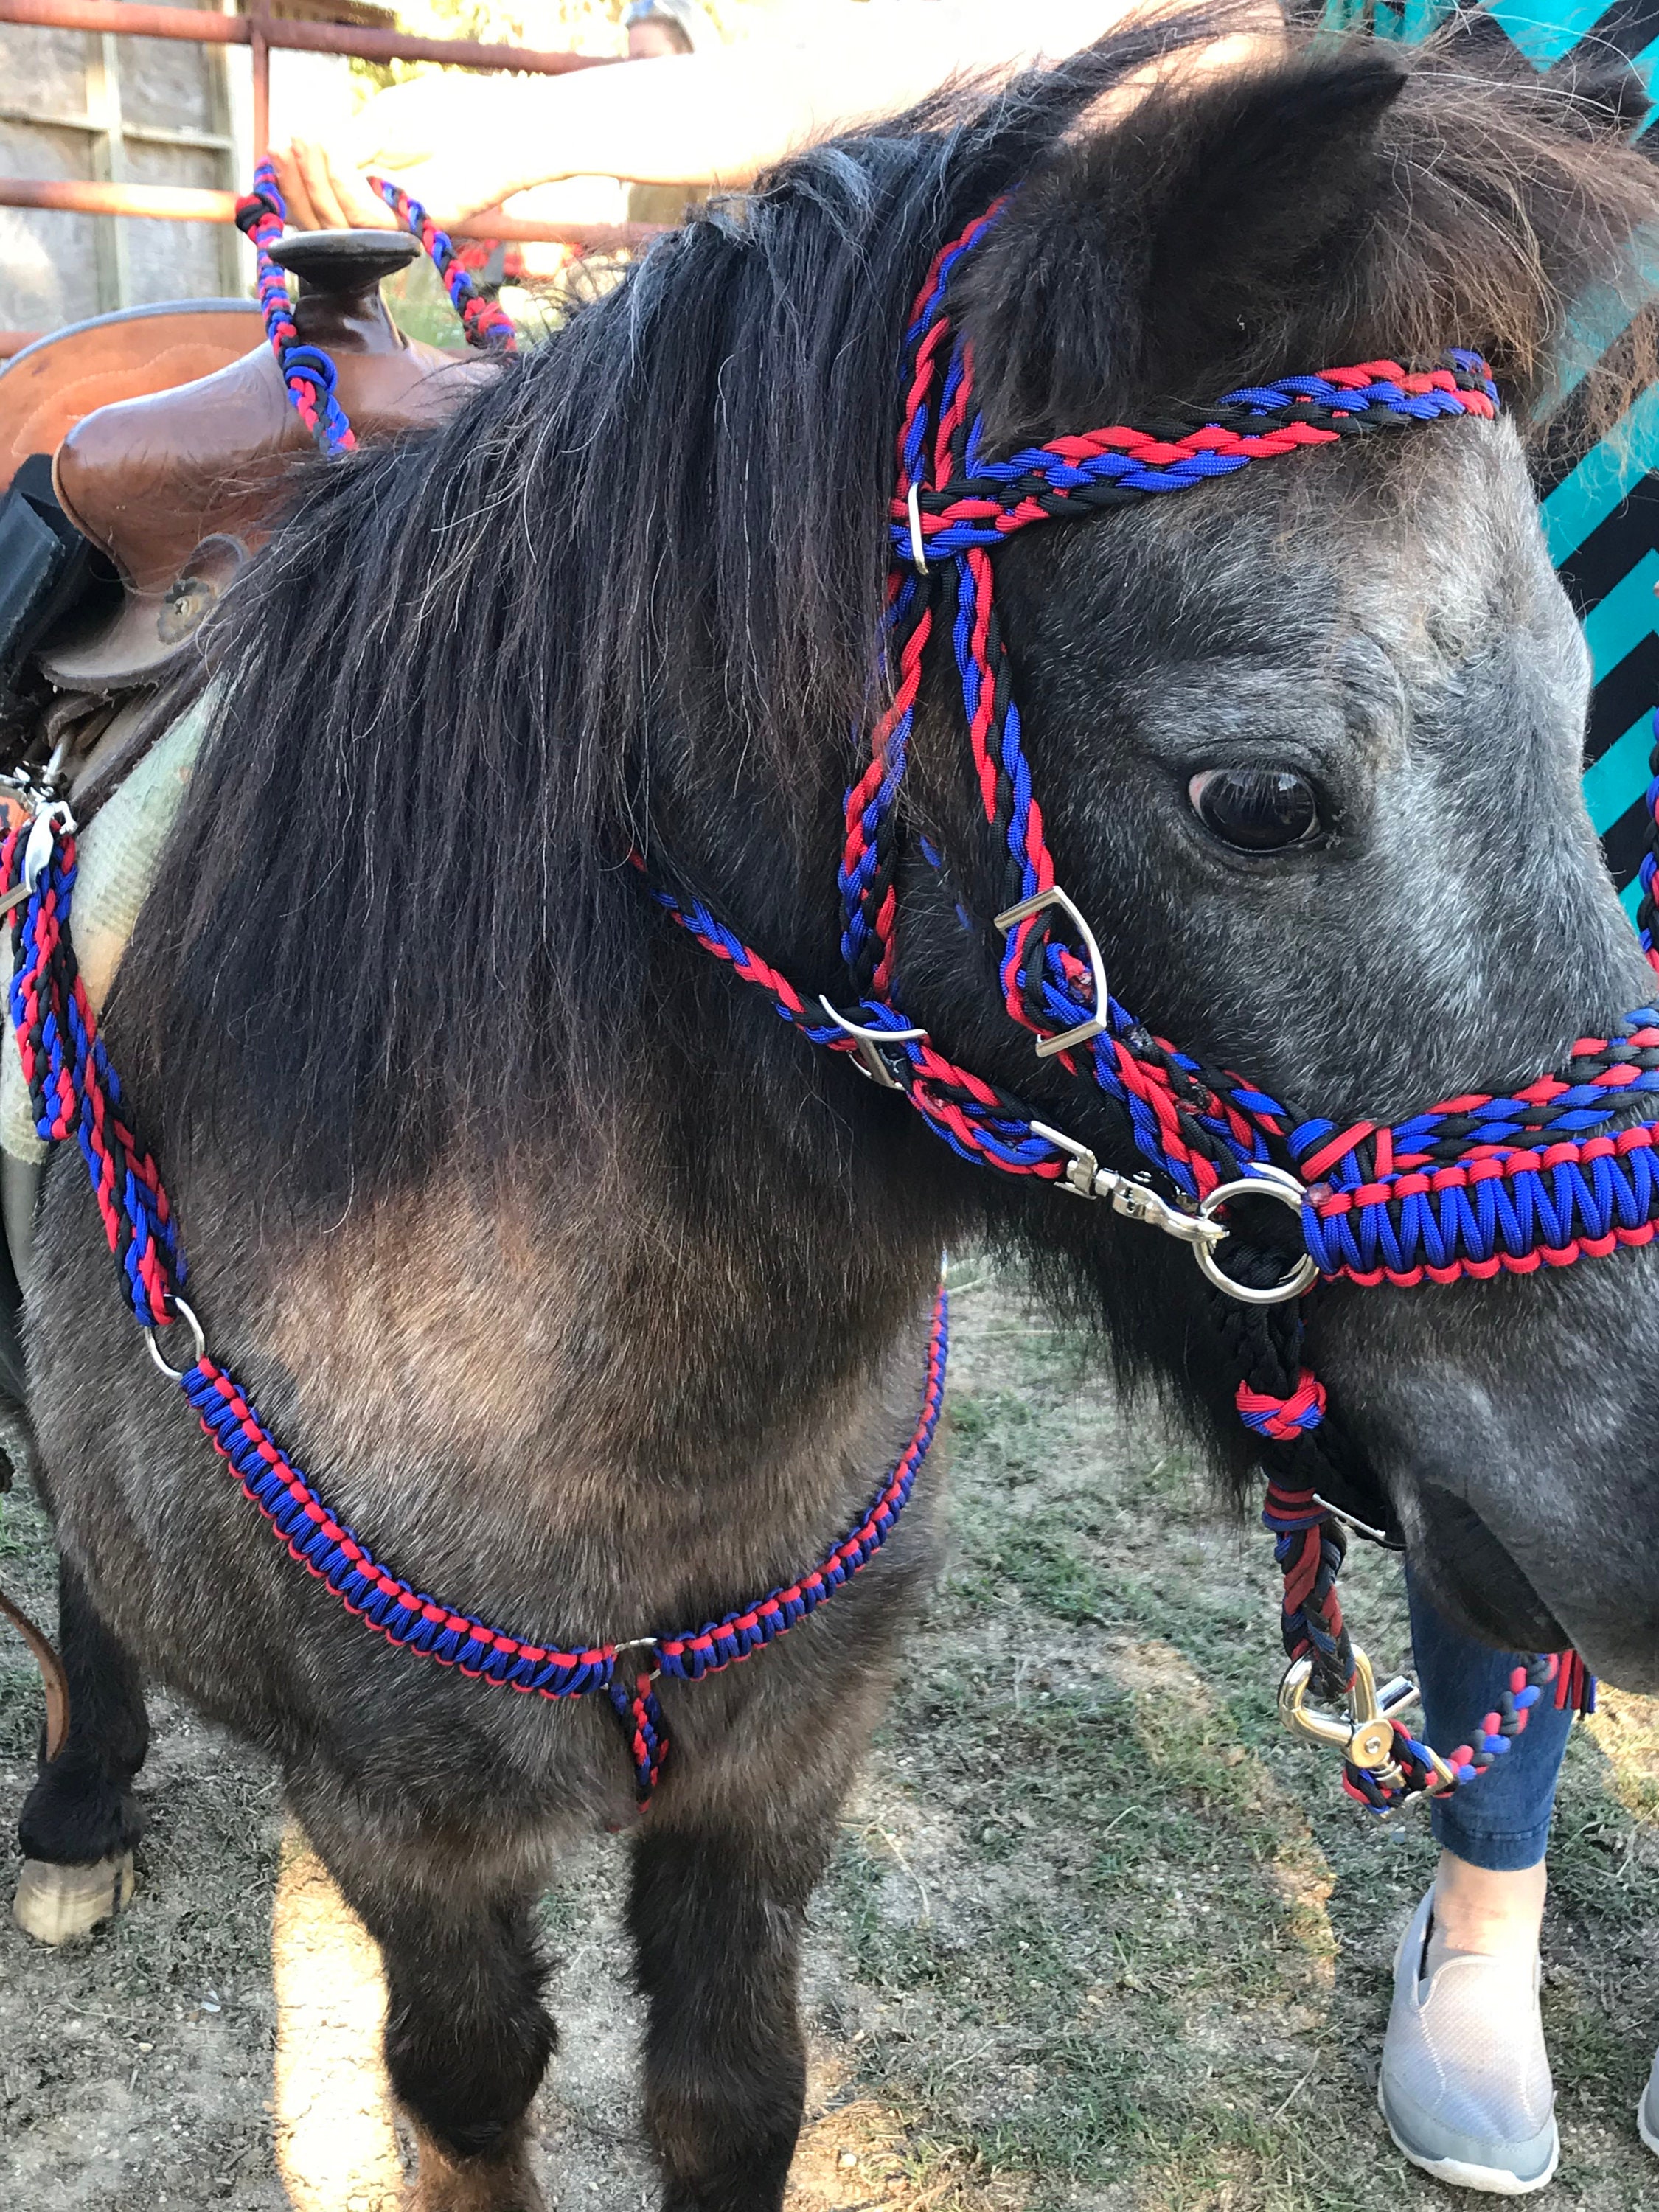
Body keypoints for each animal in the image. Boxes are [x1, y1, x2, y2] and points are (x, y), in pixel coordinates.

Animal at [14, 18, 1659, 2208]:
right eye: (1257, 796)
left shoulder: (776, 1783)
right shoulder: (411, 1837)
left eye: (1578, 722)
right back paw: (77, 1797)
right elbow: (467, 2093)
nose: (1643, 1500)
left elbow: (733, 2097)